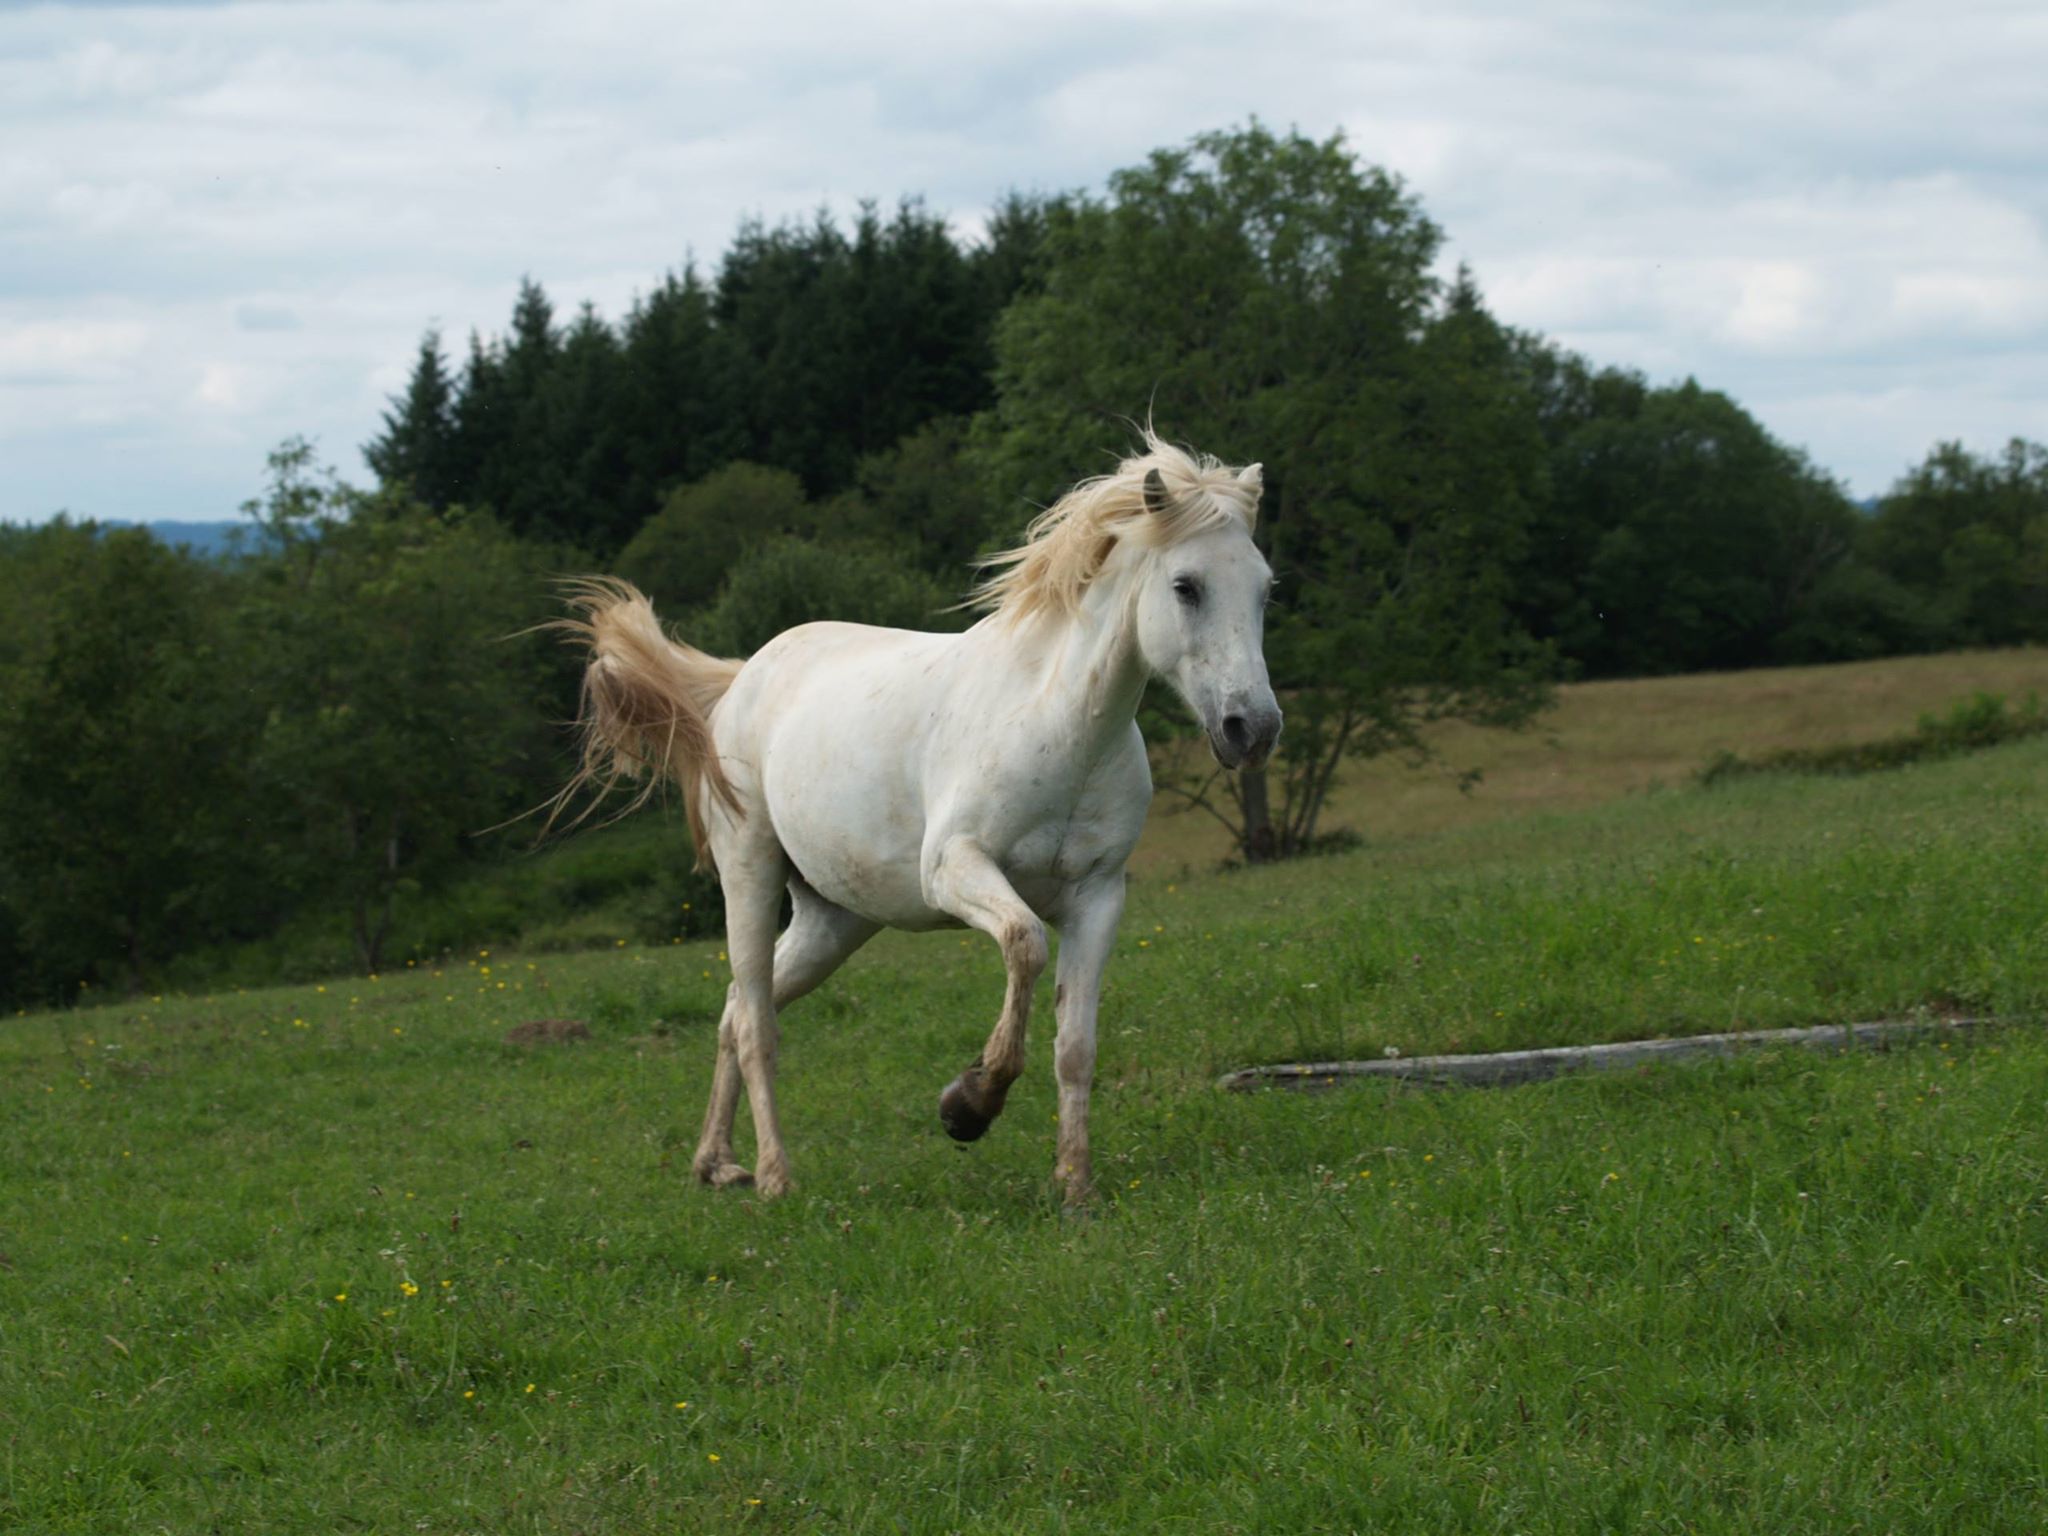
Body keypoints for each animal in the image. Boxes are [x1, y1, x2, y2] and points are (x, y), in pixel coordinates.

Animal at [561, 430, 1277, 1204]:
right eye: (1186, 586)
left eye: (1265, 588)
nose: (1252, 728)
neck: (1062, 727)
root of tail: (743, 676)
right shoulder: (956, 870)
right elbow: (1024, 944)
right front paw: (968, 1106)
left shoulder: (1099, 897)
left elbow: (1076, 1046)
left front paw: (1075, 1186)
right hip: (749, 875)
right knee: (754, 1023)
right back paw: (775, 1178)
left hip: (834, 921)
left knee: (733, 1010)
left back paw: (716, 1163)